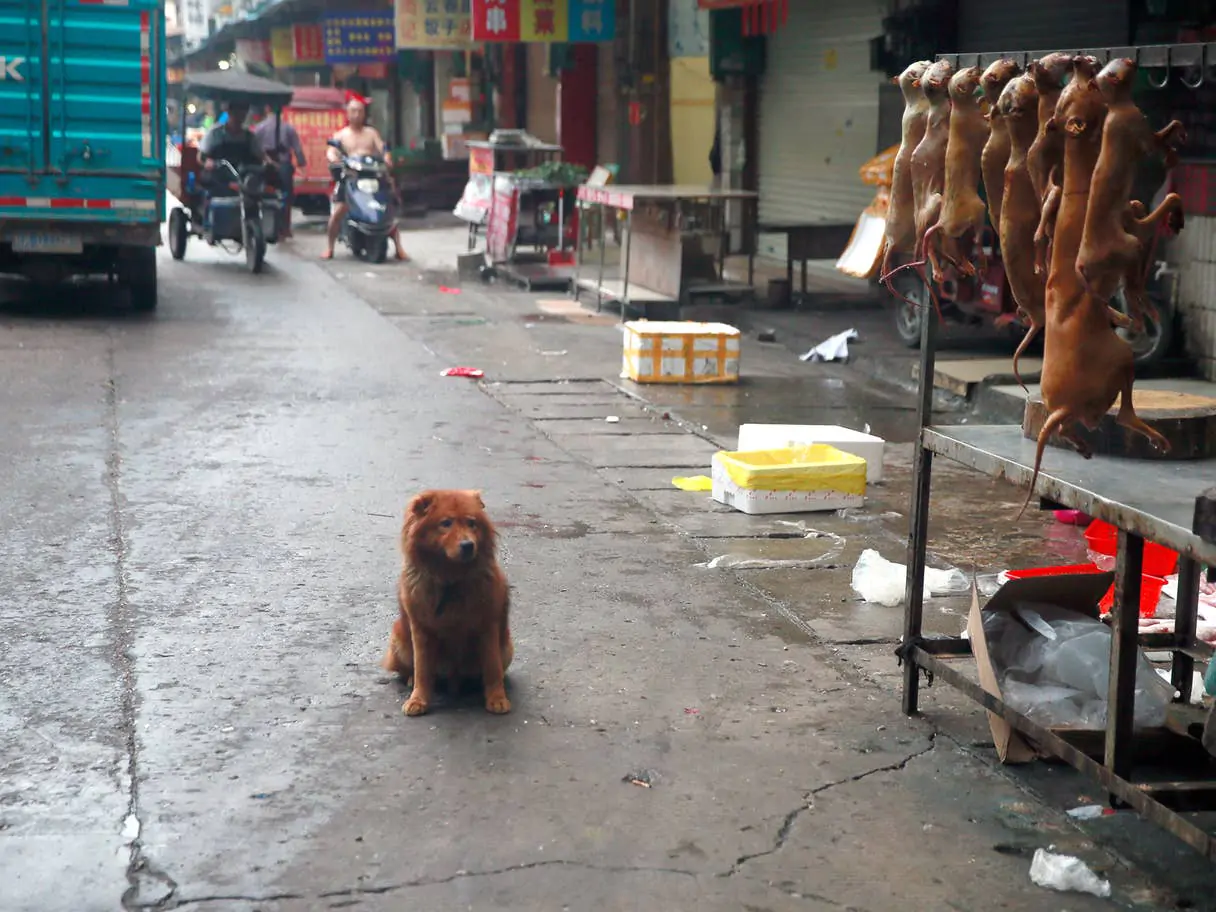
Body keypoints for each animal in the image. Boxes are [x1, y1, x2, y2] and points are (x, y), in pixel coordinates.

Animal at [379, 488, 513, 719]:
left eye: (471, 523)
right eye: (446, 523)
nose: (468, 545)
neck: (450, 578)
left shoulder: (487, 627)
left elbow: (492, 667)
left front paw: (497, 699)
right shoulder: (421, 630)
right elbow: (422, 670)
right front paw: (418, 700)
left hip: (506, 647)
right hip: (399, 637)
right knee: (409, 669)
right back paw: (410, 679)